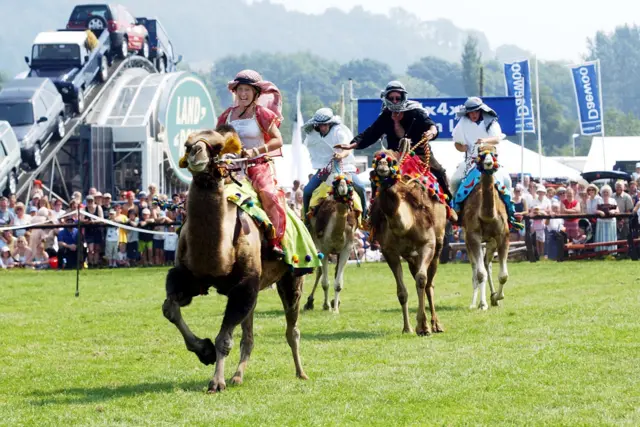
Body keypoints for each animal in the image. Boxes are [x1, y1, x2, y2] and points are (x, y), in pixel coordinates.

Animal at [161, 128, 308, 394]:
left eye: (218, 146)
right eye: (187, 144)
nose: (196, 153)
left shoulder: (244, 285)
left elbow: (224, 338)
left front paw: (216, 382)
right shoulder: (186, 277)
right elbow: (170, 308)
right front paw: (204, 351)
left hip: (292, 277)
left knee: (292, 328)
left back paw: (301, 373)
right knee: (248, 336)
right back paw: (237, 376)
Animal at [304, 171, 360, 314]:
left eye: (350, 184)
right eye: (336, 183)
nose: (343, 188)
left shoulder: (347, 248)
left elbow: (338, 283)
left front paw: (335, 309)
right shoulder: (324, 248)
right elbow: (325, 282)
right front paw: (326, 305)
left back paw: (335, 301)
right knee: (319, 270)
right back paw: (310, 302)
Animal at [368, 149, 452, 336]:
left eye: (391, 162)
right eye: (375, 160)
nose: (382, 166)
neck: (406, 223)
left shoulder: (427, 244)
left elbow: (422, 280)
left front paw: (423, 327)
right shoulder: (389, 252)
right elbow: (402, 292)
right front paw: (407, 328)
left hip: (438, 246)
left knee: (429, 283)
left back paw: (436, 324)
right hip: (411, 257)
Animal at [460, 145, 510, 310]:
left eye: (495, 154)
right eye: (480, 154)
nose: (488, 163)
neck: (487, 215)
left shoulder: (502, 236)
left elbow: (503, 275)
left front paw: (498, 297)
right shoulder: (473, 236)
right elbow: (480, 274)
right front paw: (483, 304)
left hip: (490, 242)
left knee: (487, 264)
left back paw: (493, 297)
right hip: (467, 241)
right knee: (476, 269)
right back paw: (473, 303)